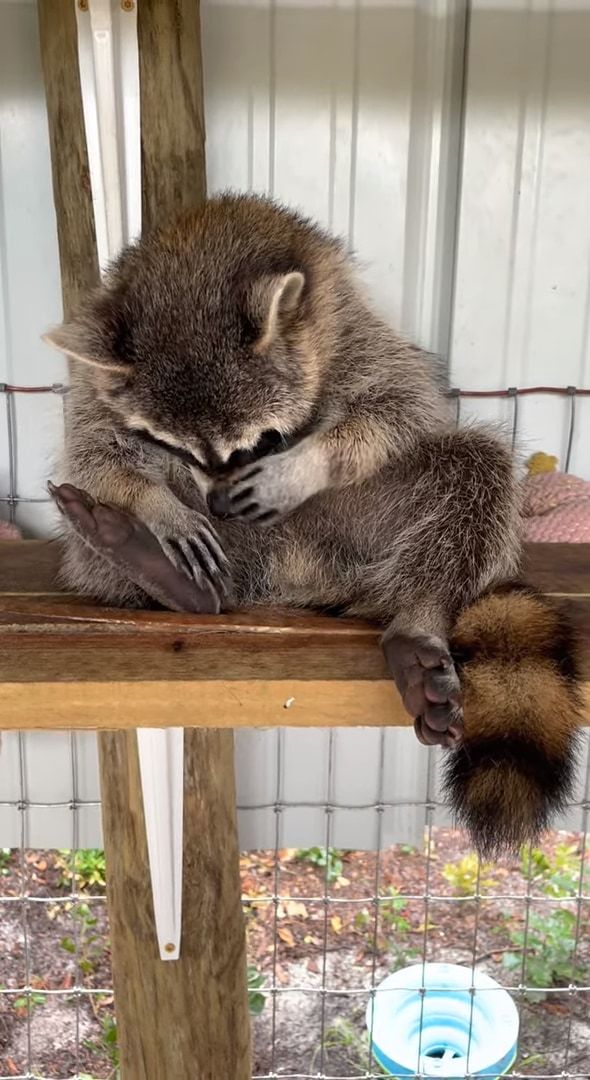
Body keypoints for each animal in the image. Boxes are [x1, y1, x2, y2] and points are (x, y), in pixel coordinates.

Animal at [43, 192, 579, 851]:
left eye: (260, 444)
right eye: (178, 448)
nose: (215, 505)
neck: (197, 257)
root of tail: (296, 573)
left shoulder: (346, 324)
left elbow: (401, 406)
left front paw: (305, 464)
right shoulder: (100, 386)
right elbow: (95, 449)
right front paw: (155, 505)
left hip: (366, 525)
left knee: (476, 464)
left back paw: (419, 613)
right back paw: (154, 565)